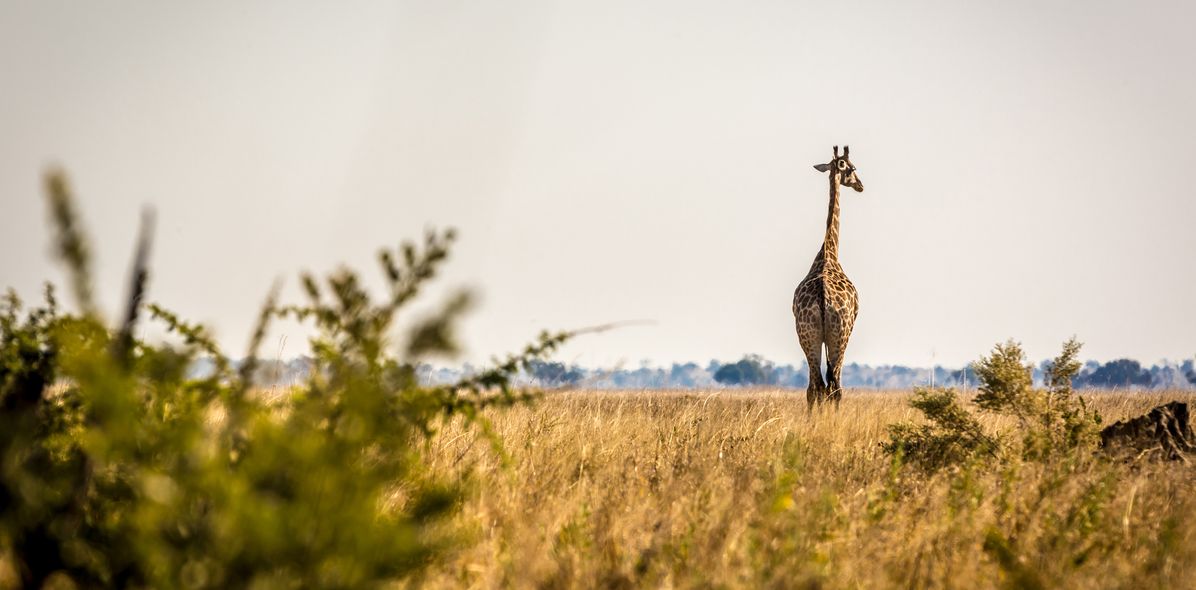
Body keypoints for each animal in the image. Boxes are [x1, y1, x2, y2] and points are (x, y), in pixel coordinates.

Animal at [792, 145, 864, 410]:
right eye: (852, 168)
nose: (860, 185)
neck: (828, 253)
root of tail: (823, 297)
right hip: (840, 334)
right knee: (833, 386)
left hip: (807, 334)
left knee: (815, 386)